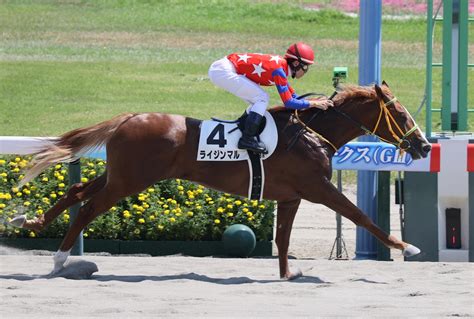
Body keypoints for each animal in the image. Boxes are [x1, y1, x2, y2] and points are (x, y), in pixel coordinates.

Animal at [10, 82, 430, 280]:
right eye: (401, 114)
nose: (424, 145)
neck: (312, 133)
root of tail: (128, 117)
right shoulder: (318, 188)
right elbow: (363, 218)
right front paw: (407, 247)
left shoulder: (292, 195)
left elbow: (283, 239)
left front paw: (287, 274)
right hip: (128, 181)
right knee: (89, 208)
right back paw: (59, 258)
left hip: (122, 175)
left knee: (76, 190)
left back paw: (30, 221)